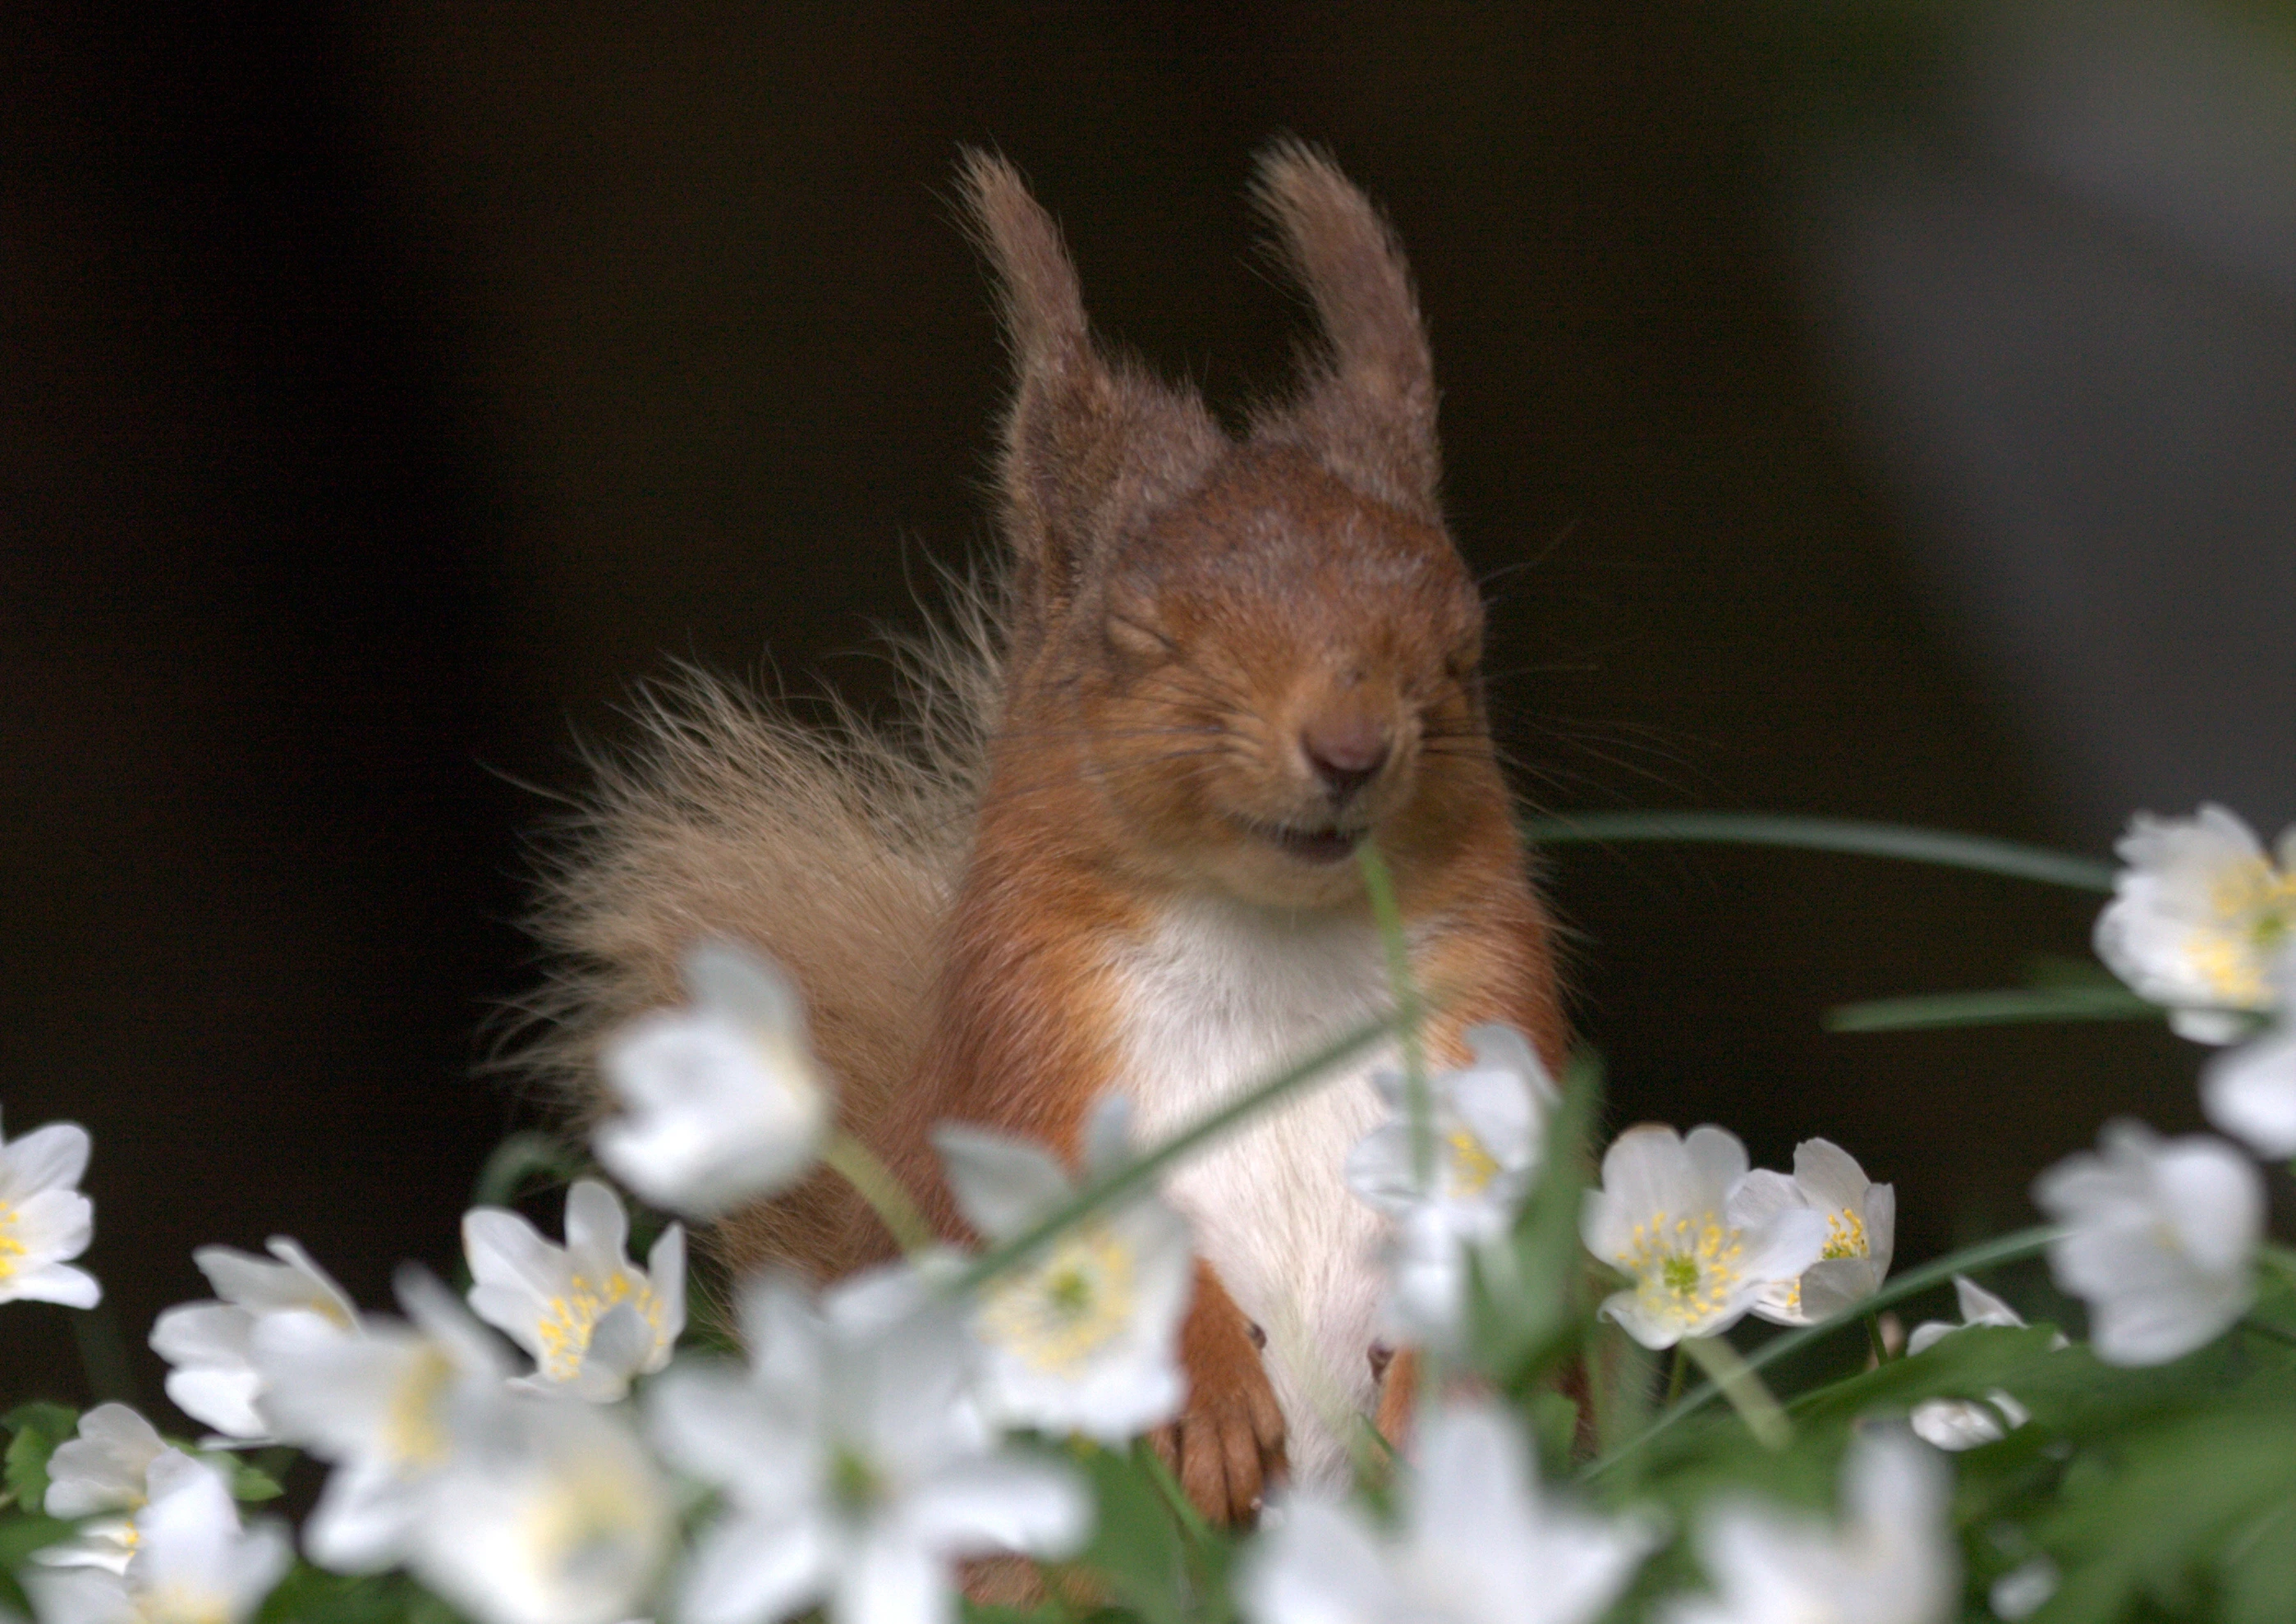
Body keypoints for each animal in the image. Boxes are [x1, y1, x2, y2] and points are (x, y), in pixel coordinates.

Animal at [523, 145, 1570, 1534]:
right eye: (1142, 636)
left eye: (1462, 644)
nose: (1351, 748)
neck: (1272, 940)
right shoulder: (1019, 1033)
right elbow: (1066, 1216)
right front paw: (1208, 1399)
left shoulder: (1492, 1004)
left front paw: (1459, 1382)